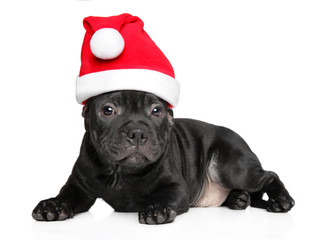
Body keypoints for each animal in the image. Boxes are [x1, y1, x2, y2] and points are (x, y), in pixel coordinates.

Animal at [32, 91, 294, 224]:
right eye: (108, 110)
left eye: (156, 111)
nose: (137, 132)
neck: (121, 173)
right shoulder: (79, 187)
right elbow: (67, 195)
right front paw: (54, 205)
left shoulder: (176, 187)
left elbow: (165, 195)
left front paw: (156, 208)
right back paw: (239, 199)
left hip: (232, 167)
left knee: (269, 176)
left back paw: (280, 200)